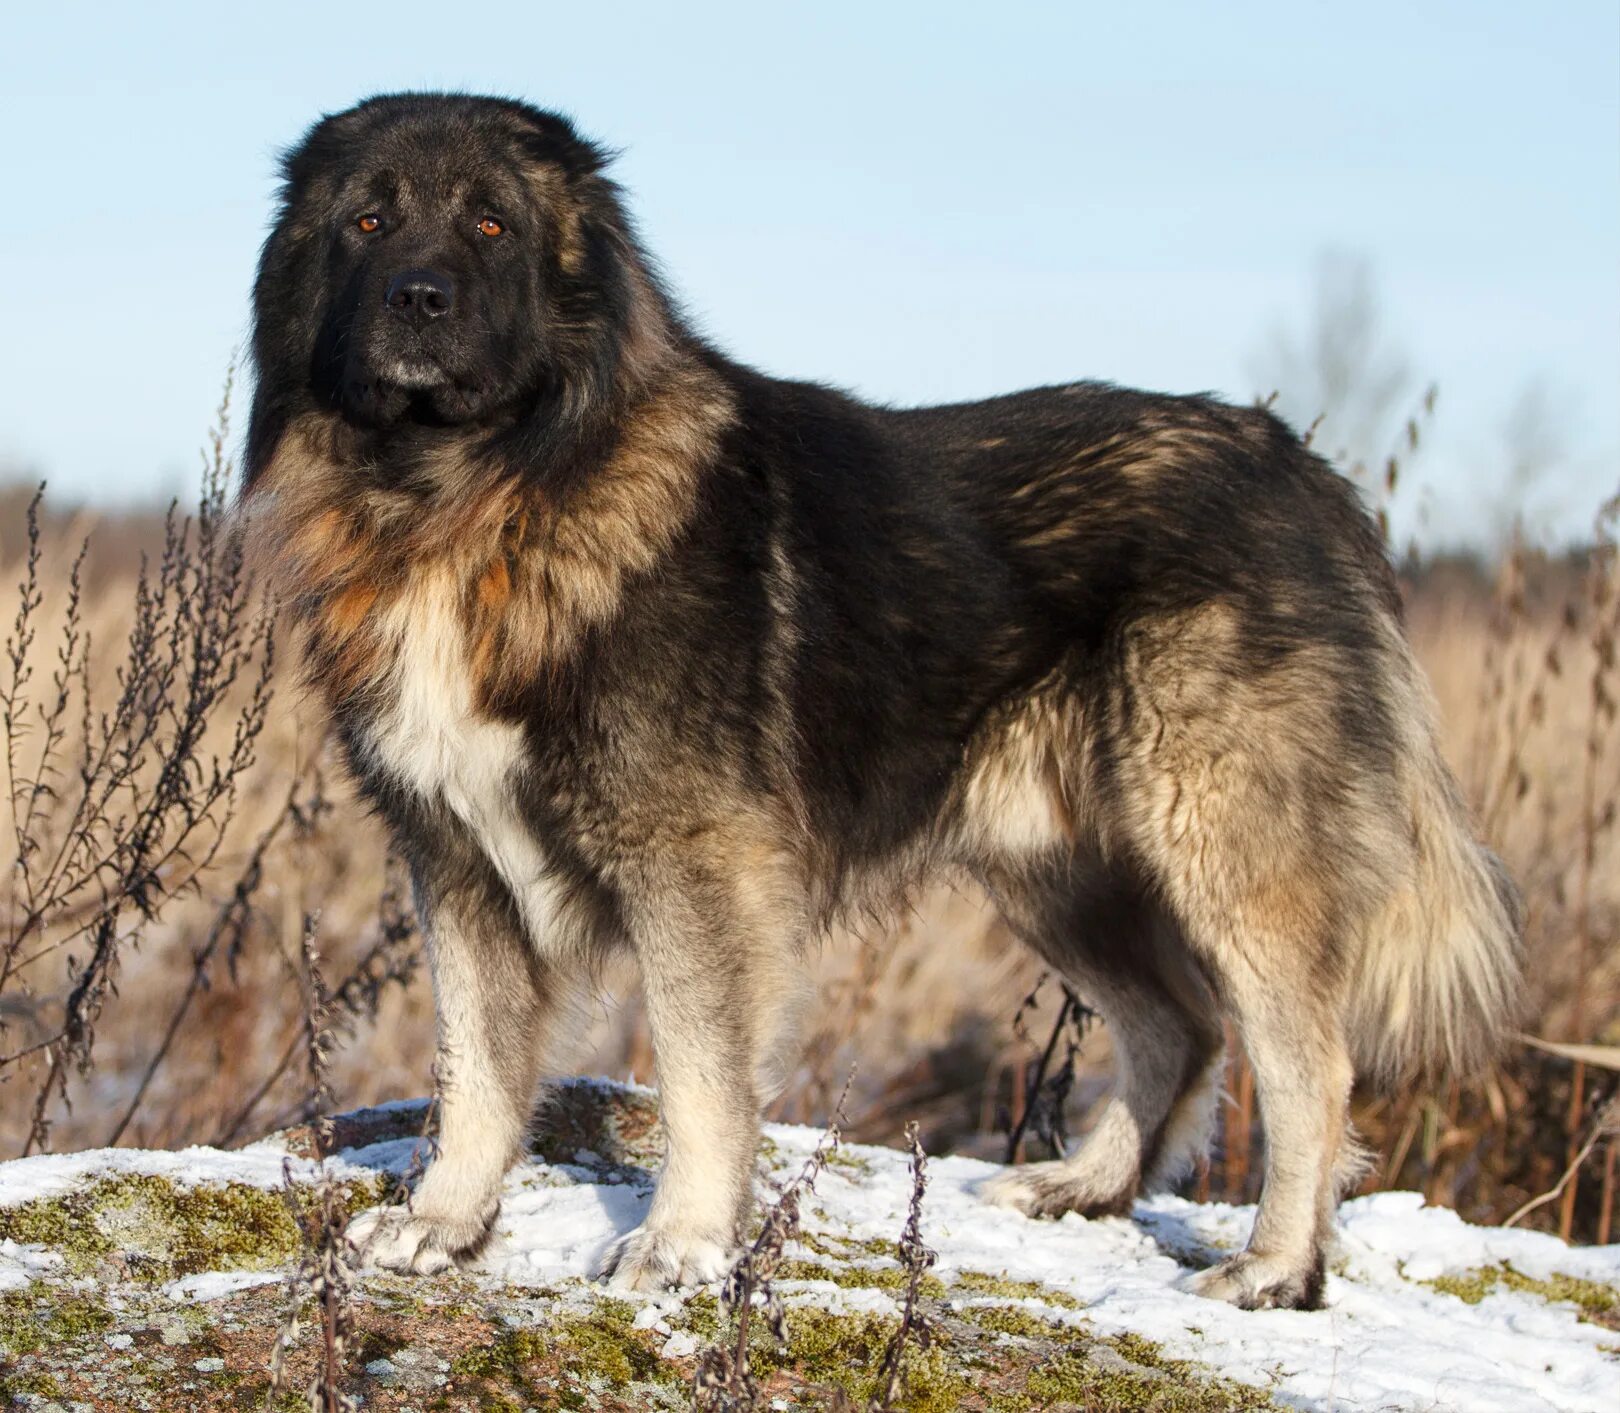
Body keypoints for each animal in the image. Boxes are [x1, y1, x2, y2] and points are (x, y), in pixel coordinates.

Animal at [239, 93, 1516, 1315]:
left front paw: (681, 1243)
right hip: (1058, 867)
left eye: (492, 225)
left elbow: (698, 1071)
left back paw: (1276, 1269)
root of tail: (1300, 465)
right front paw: (445, 1223)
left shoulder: (694, 866)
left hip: (1219, 844)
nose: (419, 297)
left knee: (1305, 1060)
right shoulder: (457, 860)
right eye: (368, 221)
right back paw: (1085, 1188)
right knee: (1180, 1024)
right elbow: (475, 1067)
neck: (468, 496)